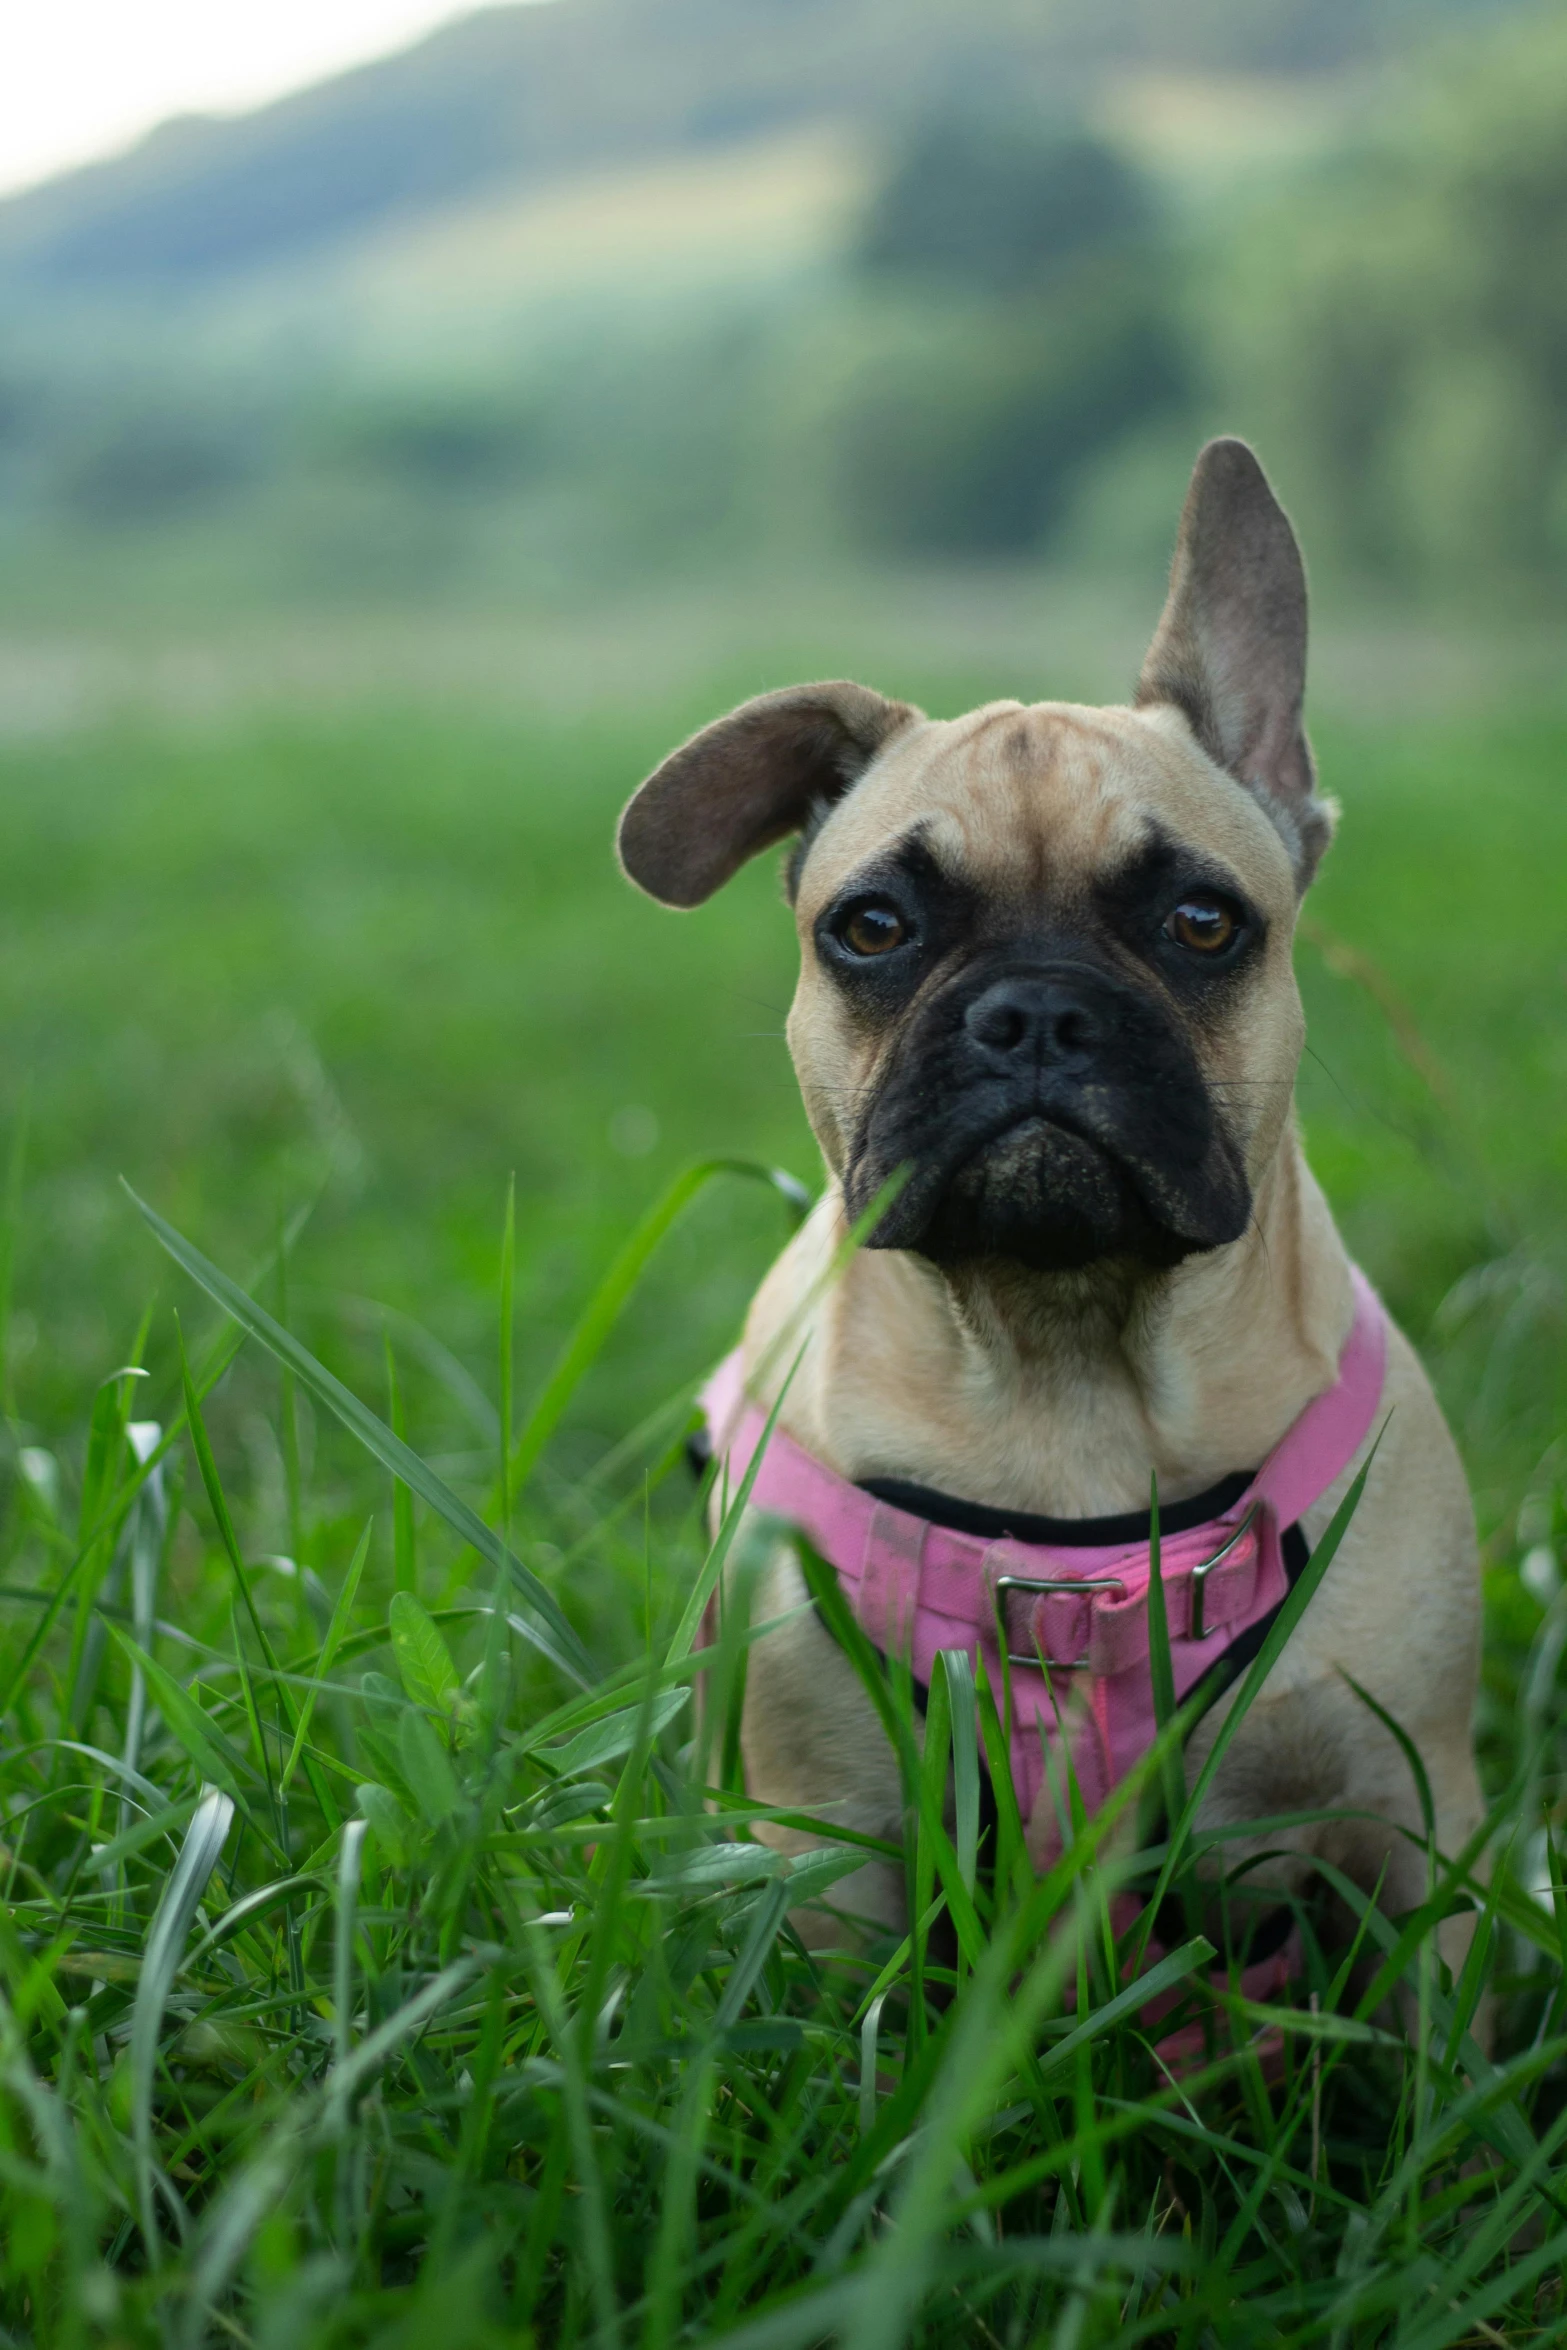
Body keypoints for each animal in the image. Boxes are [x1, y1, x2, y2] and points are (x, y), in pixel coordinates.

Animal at [610, 441, 1484, 1964]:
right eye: (871, 927)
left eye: (1201, 922)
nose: (1031, 1013)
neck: (1067, 1368)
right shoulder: (818, 1850)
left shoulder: (1411, 1821)